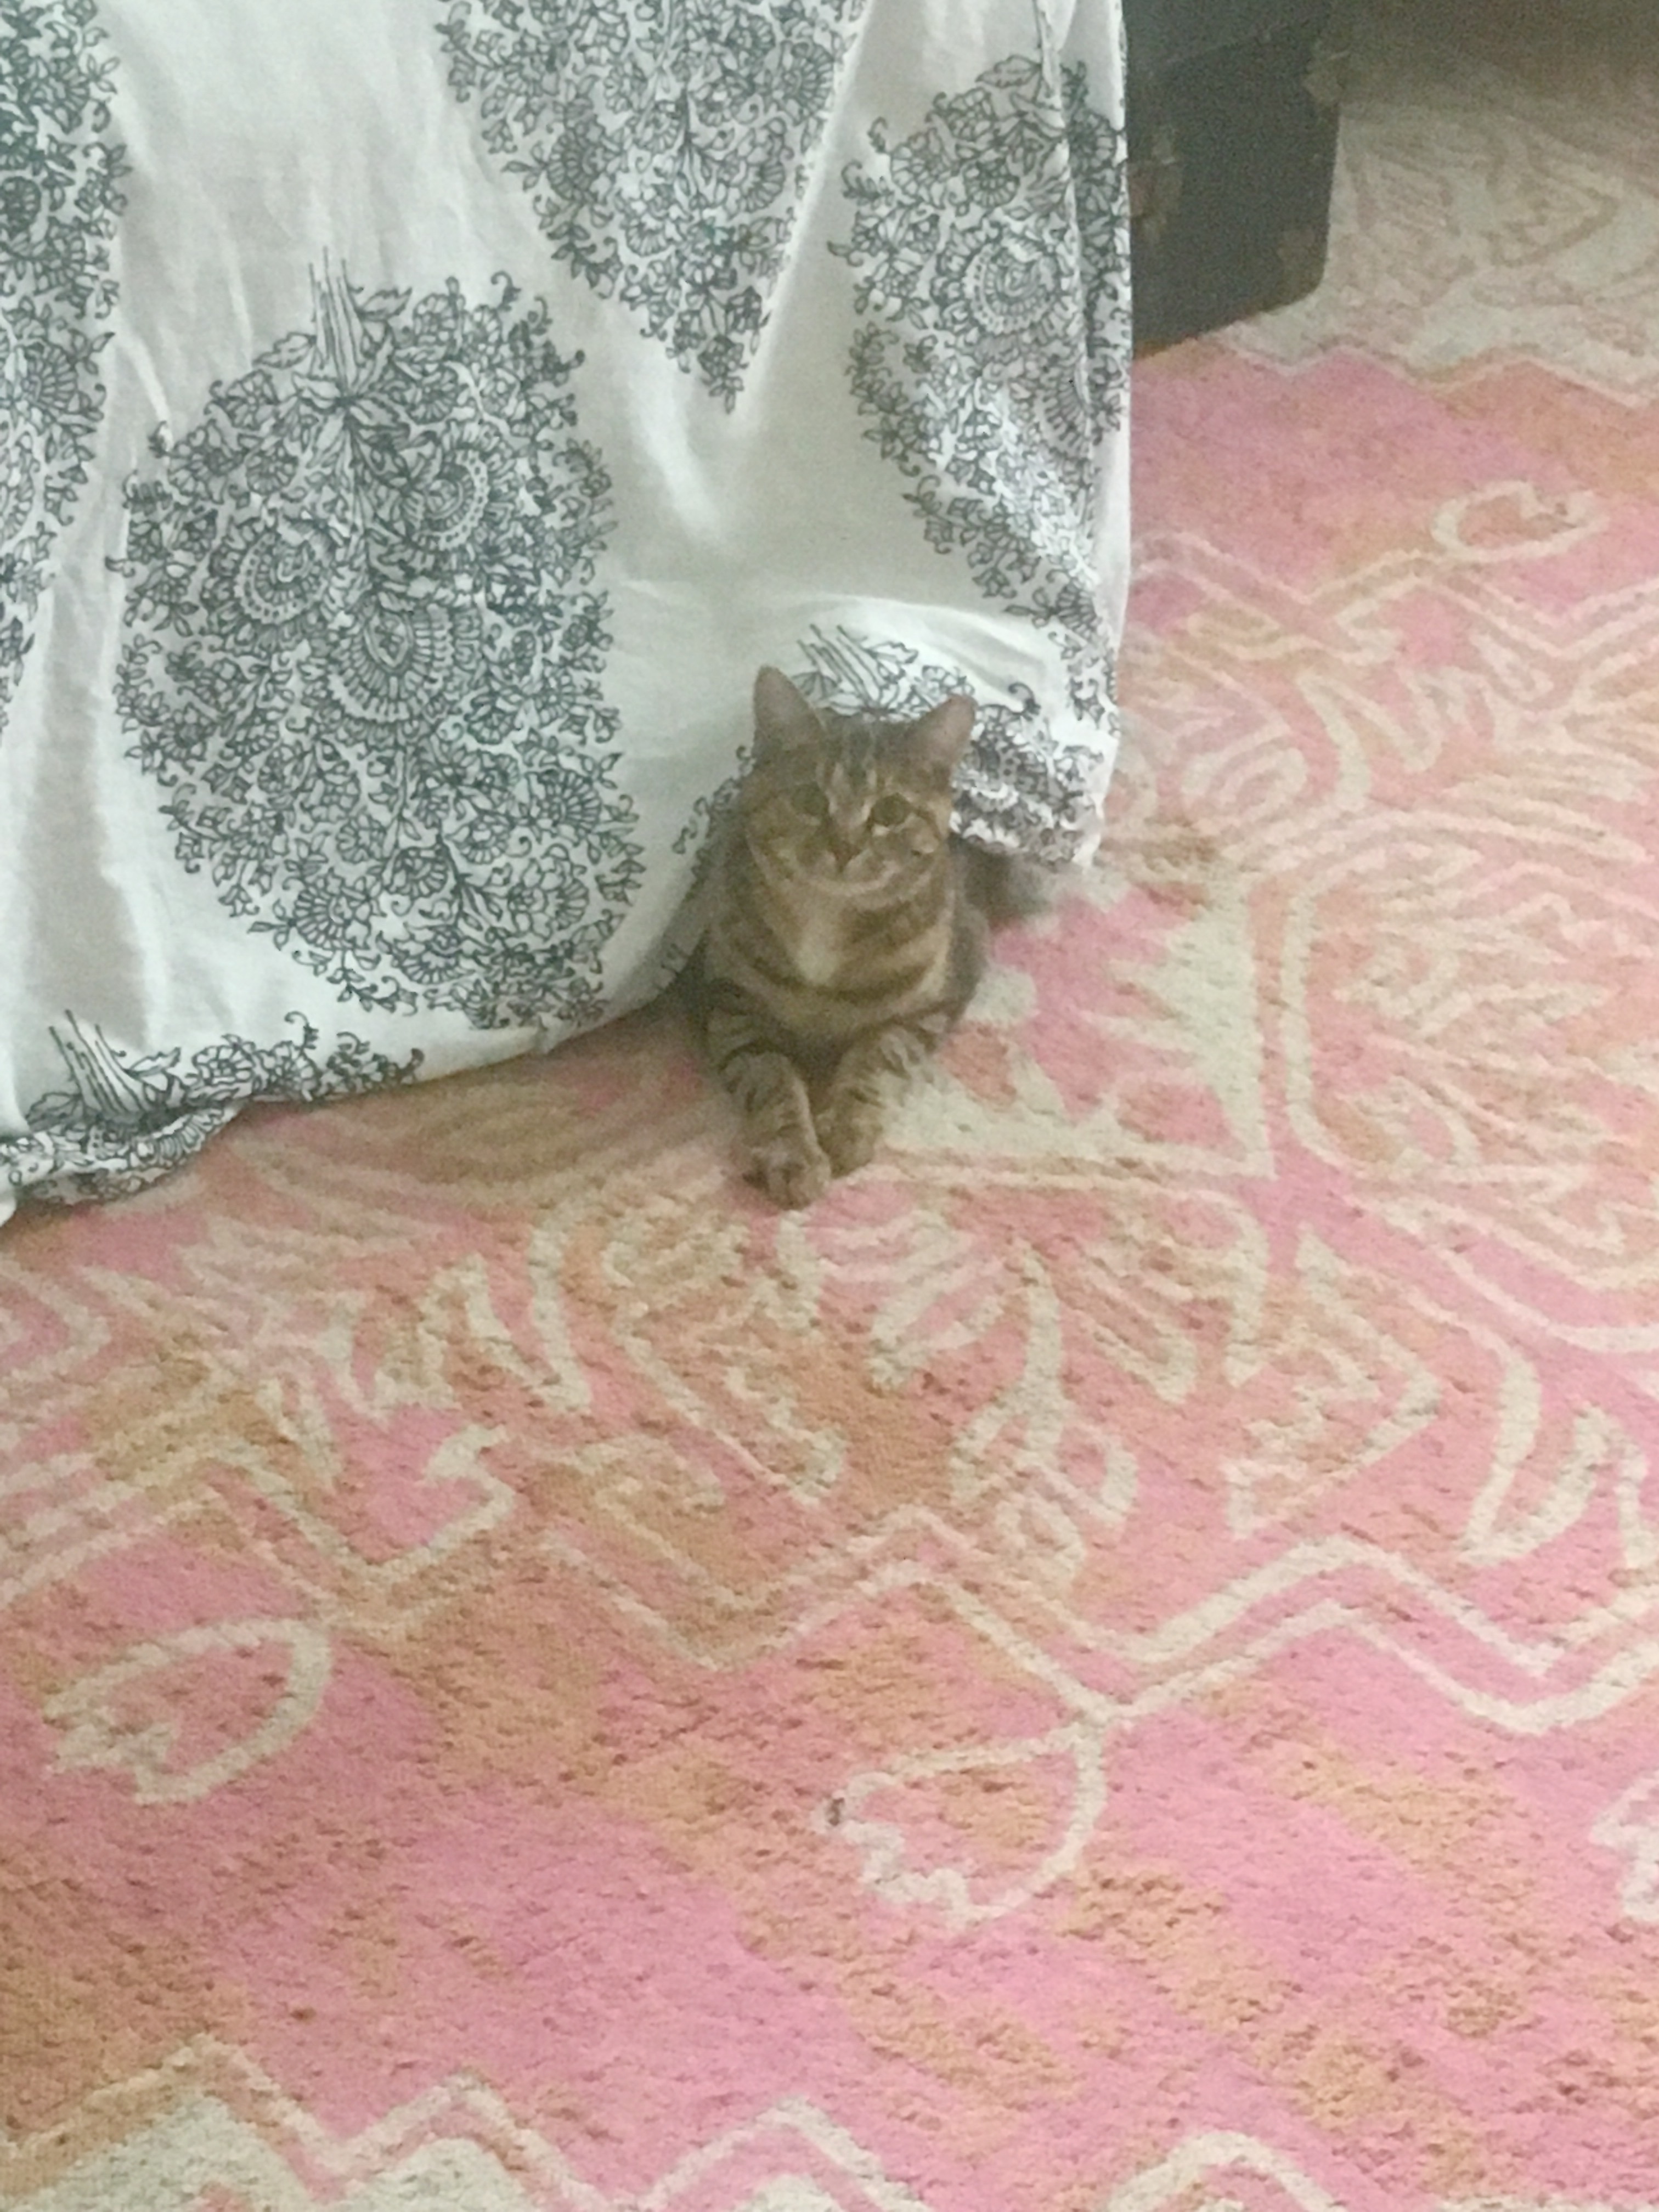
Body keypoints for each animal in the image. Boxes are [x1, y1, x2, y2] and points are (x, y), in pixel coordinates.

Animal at [685, 665, 1046, 1208]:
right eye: (810, 799)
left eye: (892, 811)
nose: (844, 846)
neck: (825, 920)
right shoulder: (729, 1002)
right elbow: (771, 1077)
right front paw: (793, 1153)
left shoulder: (940, 991)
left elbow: (880, 1054)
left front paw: (847, 1126)